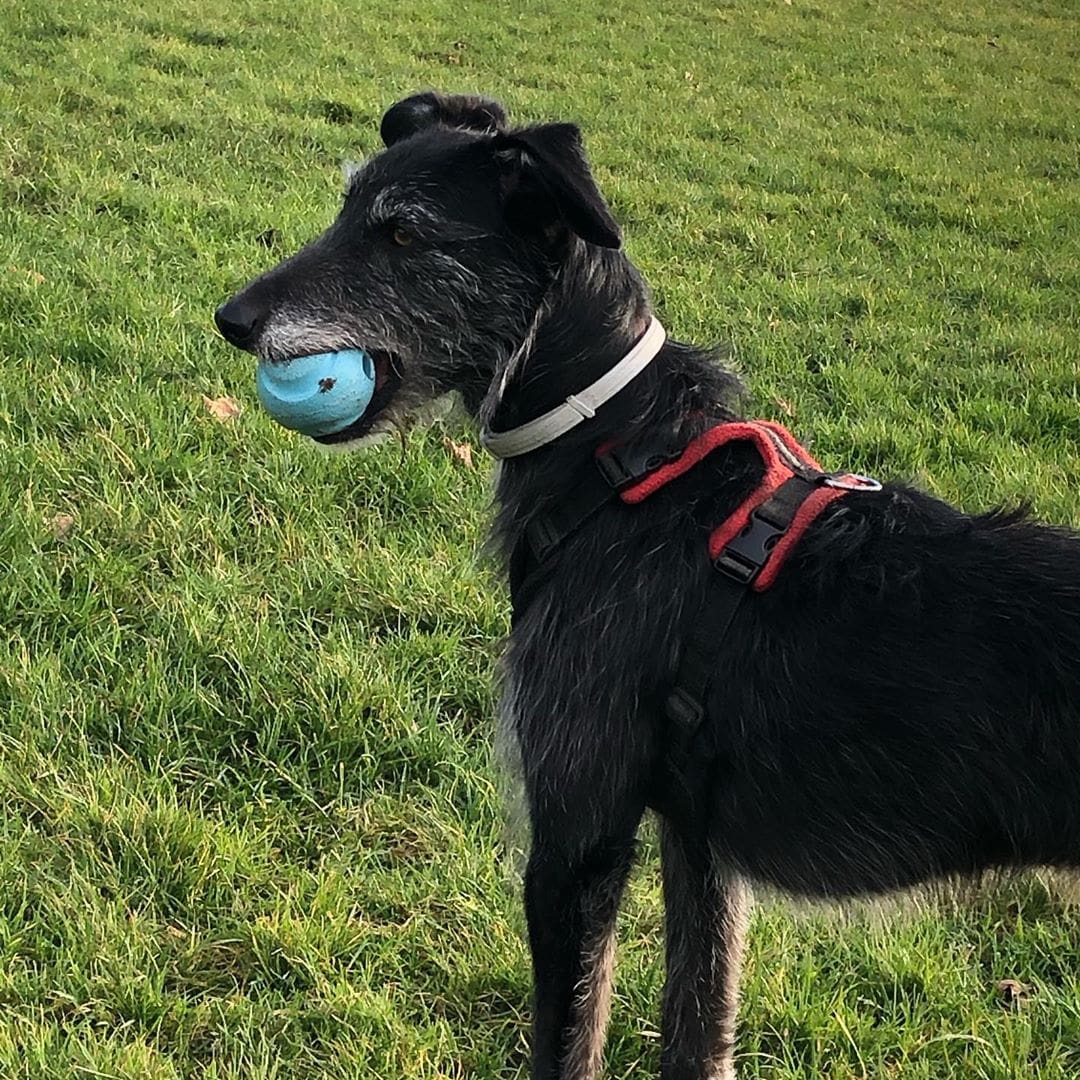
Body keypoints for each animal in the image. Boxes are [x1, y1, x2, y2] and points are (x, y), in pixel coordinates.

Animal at [217, 92, 1080, 1080]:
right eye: (349, 207)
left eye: (402, 234)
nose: (230, 318)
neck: (619, 456)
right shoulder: (699, 851)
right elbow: (697, 1034)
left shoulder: (577, 847)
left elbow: (567, 1042)